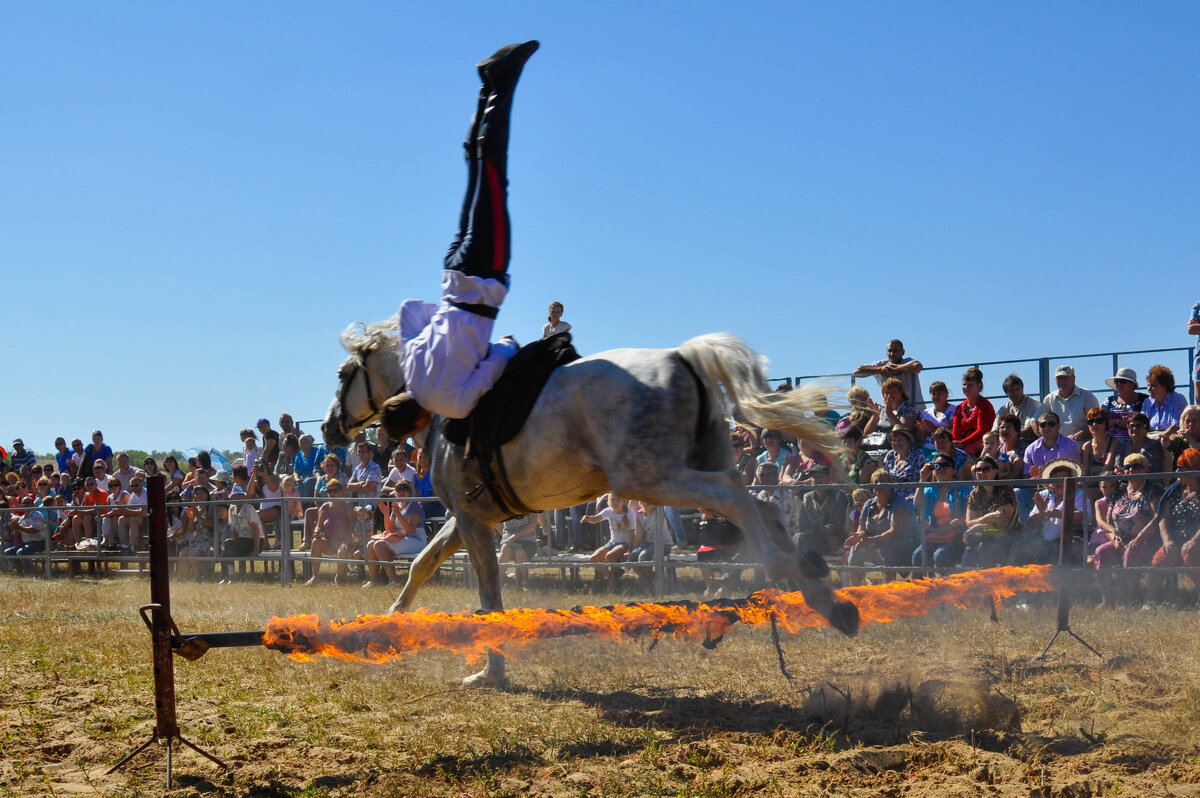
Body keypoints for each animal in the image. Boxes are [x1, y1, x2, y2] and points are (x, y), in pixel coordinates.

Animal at [324, 316, 859, 686]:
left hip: (651, 478)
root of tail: (681, 357)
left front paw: (492, 672)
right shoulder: (467, 517)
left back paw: (818, 593)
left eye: (344, 374)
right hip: (697, 463)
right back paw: (815, 579)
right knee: (760, 505)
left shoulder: (474, 521)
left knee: (738, 501)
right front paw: (389, 623)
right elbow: (422, 565)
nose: (330, 427)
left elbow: (489, 600)